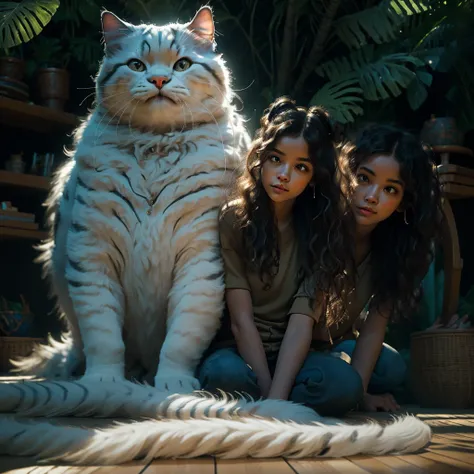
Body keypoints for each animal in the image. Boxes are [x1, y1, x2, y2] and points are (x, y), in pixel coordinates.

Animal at [10, 6, 248, 392]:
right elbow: (103, 335)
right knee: (81, 346)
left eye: (182, 64)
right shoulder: (94, 252)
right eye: (136, 65)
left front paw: (173, 385)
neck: (156, 145)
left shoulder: (200, 257)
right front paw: (103, 382)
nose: (159, 80)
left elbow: (183, 336)